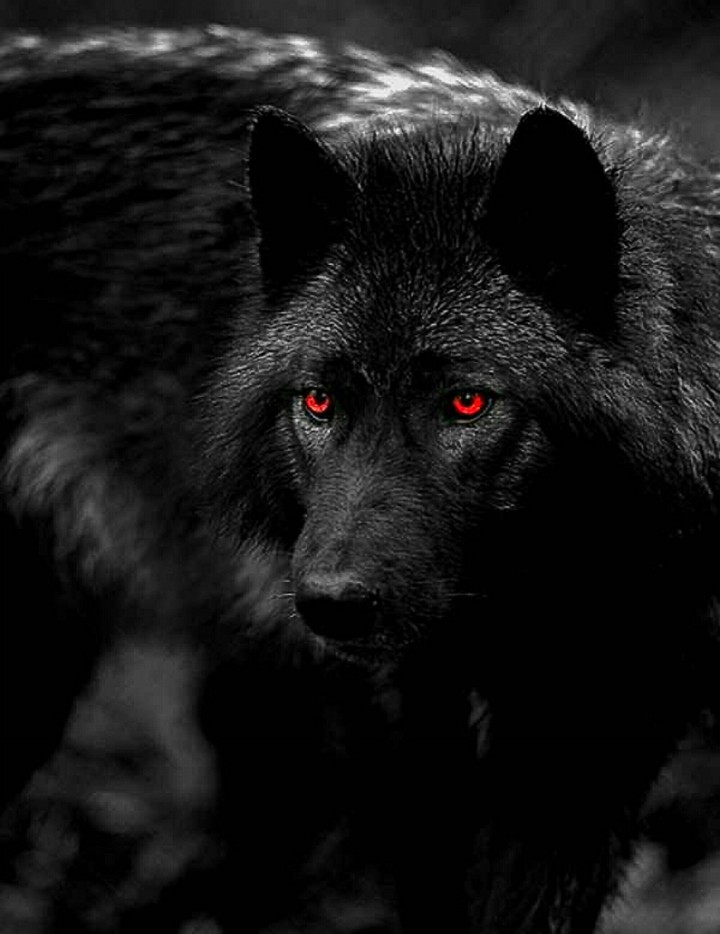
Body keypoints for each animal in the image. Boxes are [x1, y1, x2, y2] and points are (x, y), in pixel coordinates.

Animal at [1, 25, 719, 934]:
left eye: (466, 401)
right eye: (318, 401)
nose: (332, 603)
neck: (536, 600)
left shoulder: (597, 743)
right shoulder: (393, 722)